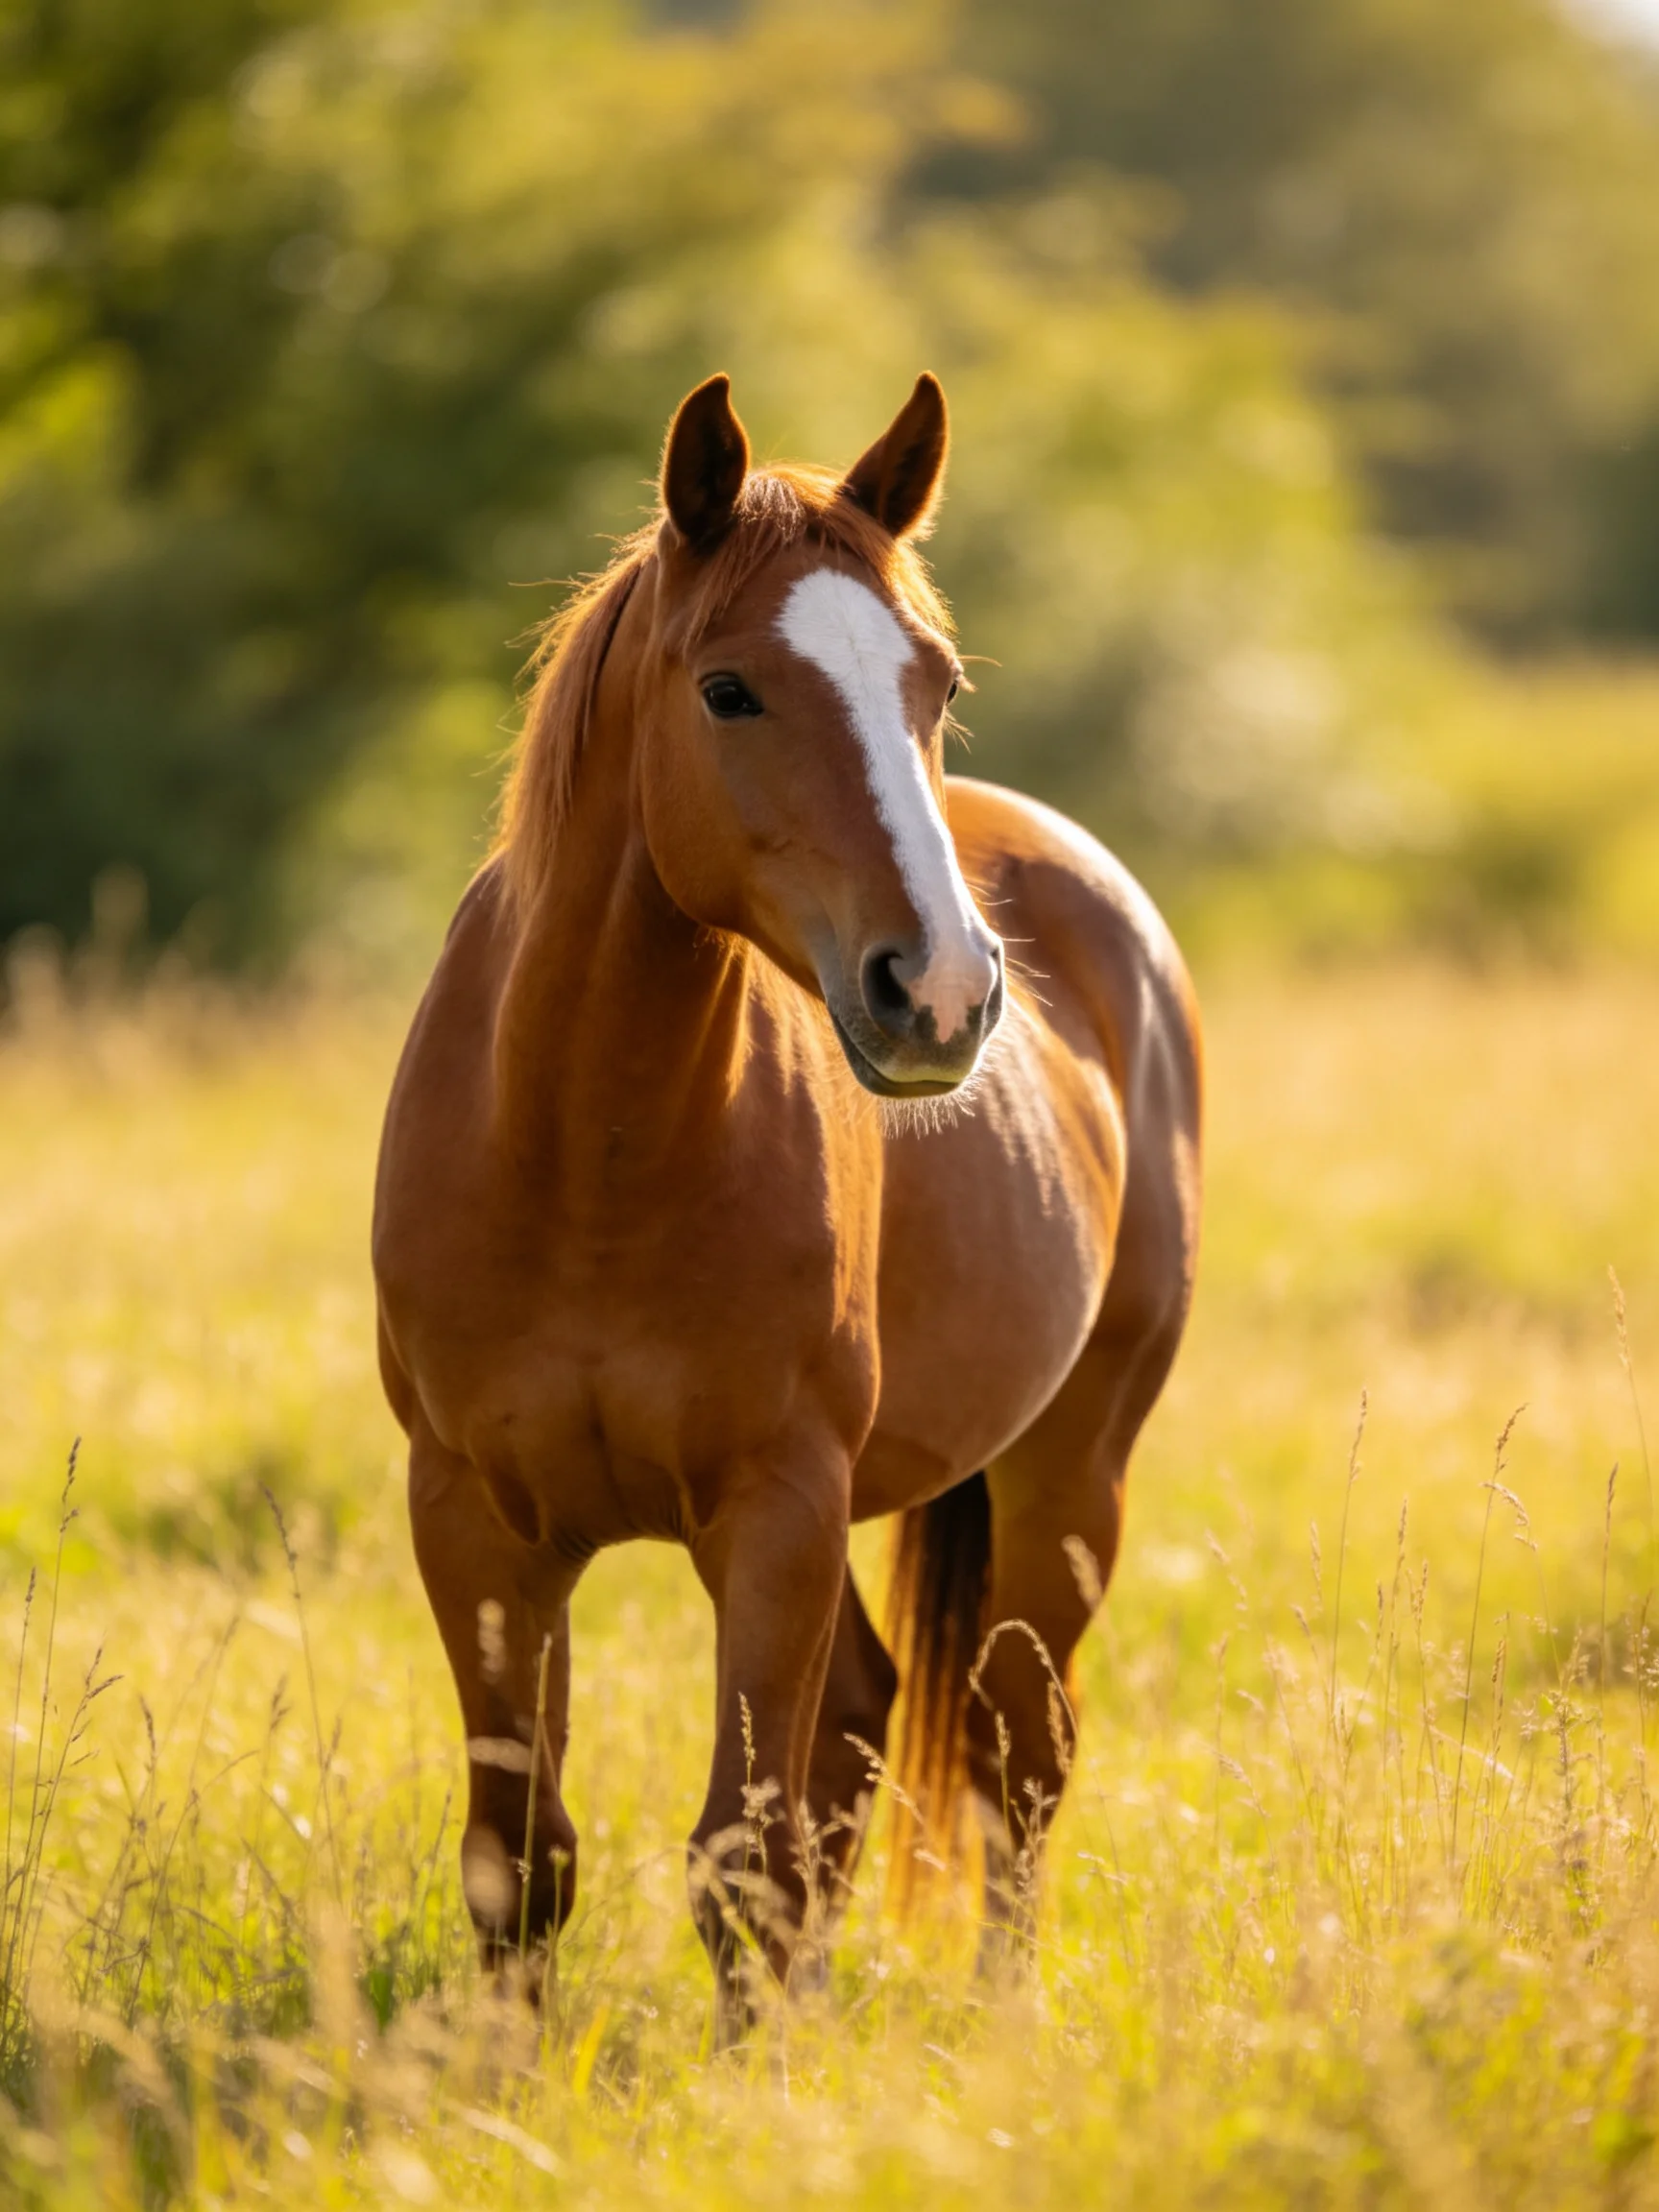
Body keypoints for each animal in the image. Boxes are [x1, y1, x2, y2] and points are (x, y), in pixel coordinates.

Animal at [372, 371, 1202, 2034]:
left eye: (932, 682)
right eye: (731, 691)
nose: (940, 992)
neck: (583, 1162)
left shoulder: (777, 1513)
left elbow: (741, 1857)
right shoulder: (475, 1522)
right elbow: (521, 1859)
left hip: (1073, 1470)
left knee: (1015, 1748)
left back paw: (999, 2021)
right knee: (876, 1729)